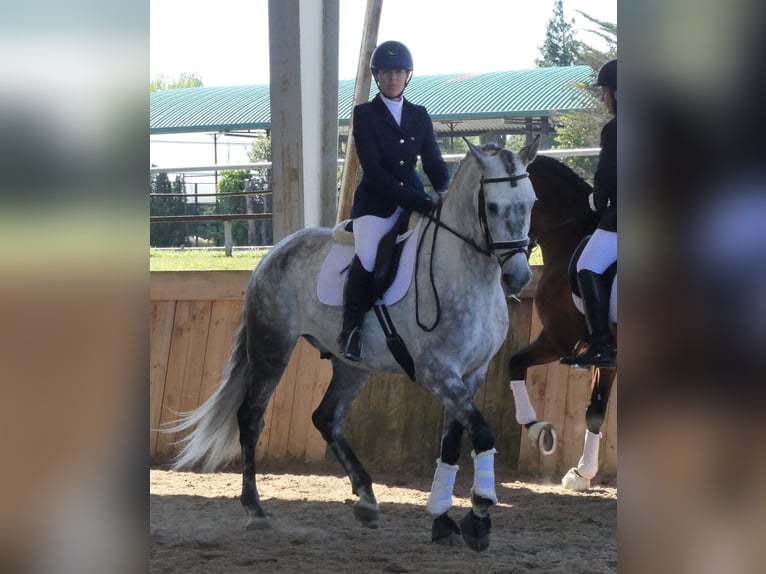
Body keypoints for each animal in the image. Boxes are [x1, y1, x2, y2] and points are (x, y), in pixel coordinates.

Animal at [168, 138, 540, 552]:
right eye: (491, 207)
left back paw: (366, 499)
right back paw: (255, 510)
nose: (519, 277)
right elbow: (483, 432)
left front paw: (444, 520)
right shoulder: (439, 373)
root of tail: (274, 252)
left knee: (326, 417)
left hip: (350, 364)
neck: (466, 271)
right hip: (273, 347)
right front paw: (478, 514)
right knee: (251, 417)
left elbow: (453, 441)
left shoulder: (472, 374)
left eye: (531, 202)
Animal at [512, 155, 620, 492]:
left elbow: (514, 363)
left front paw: (539, 431)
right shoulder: (605, 354)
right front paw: (582, 473)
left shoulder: (557, 340)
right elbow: (595, 411)